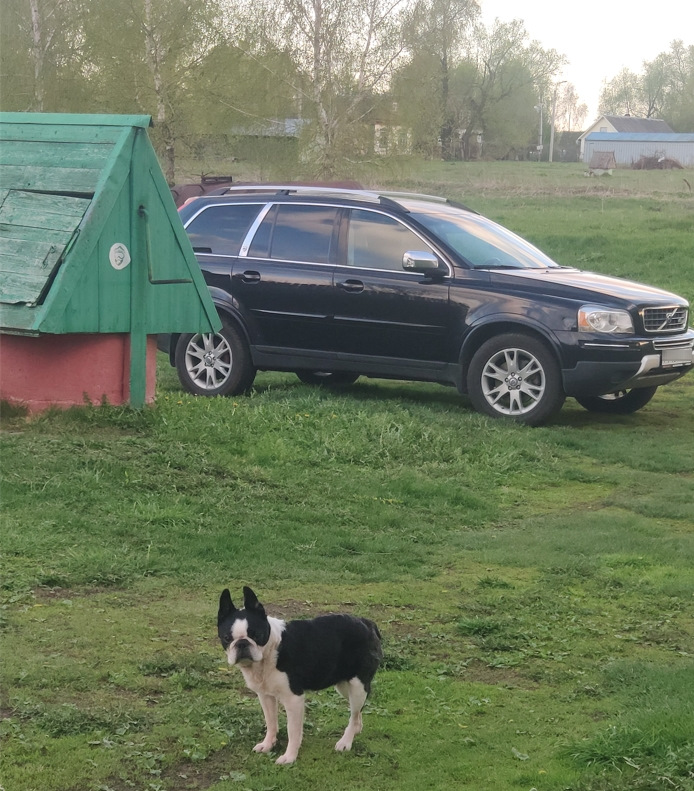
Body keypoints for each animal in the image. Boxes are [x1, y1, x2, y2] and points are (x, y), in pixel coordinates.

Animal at [218, 584, 384, 764]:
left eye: (256, 635)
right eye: (227, 638)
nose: (242, 643)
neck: (270, 651)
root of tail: (367, 623)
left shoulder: (293, 699)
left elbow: (293, 730)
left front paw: (289, 757)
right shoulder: (265, 696)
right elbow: (271, 722)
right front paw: (268, 744)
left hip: (357, 686)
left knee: (354, 713)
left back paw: (345, 742)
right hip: (344, 686)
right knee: (357, 711)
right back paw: (356, 731)